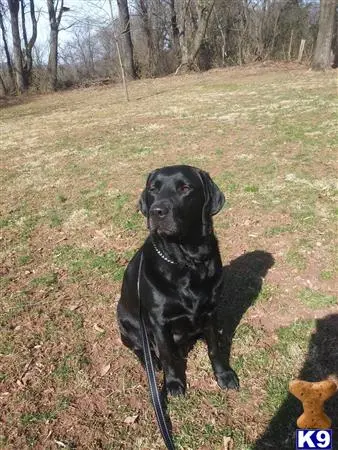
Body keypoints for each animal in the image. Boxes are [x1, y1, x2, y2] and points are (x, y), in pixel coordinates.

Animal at [117, 164, 239, 394]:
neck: (187, 262)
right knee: (141, 350)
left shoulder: (211, 312)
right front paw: (174, 383)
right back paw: (153, 364)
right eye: (153, 189)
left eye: (185, 188)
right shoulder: (159, 321)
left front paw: (224, 375)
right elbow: (167, 356)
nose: (157, 211)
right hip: (126, 323)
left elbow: (214, 348)